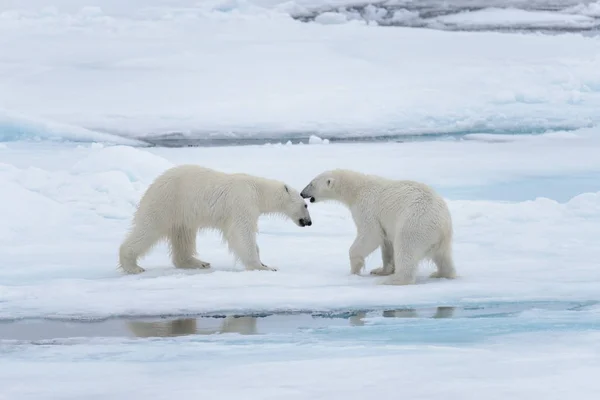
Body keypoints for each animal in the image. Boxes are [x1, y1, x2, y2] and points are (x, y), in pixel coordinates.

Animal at [119, 164, 312, 274]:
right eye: (305, 205)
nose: (308, 222)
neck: (258, 190)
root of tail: (153, 185)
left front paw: (263, 262)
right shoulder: (242, 202)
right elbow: (242, 233)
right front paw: (264, 266)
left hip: (183, 214)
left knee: (184, 236)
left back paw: (198, 263)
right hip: (167, 202)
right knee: (148, 228)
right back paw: (133, 266)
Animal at [302, 170, 458, 286]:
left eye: (311, 183)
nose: (302, 193)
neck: (357, 188)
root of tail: (443, 223)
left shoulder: (367, 207)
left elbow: (371, 234)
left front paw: (355, 268)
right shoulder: (385, 222)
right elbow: (386, 243)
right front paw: (380, 270)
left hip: (416, 223)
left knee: (406, 247)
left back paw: (393, 280)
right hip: (440, 236)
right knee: (443, 256)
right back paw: (441, 273)